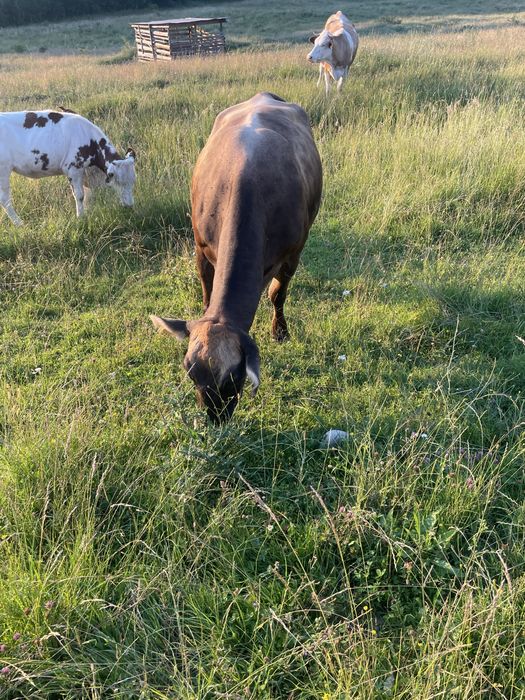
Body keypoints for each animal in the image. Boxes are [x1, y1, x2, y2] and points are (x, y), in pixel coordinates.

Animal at [0, 109, 136, 226]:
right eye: (118, 182)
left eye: (133, 182)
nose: (130, 206)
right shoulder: (73, 168)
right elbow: (80, 195)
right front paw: (80, 217)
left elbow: (87, 195)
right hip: (4, 169)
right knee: (5, 200)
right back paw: (19, 224)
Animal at [151, 92, 322, 424]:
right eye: (191, 373)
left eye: (234, 376)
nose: (216, 420)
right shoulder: (200, 248)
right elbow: (206, 295)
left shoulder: (293, 252)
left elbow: (277, 294)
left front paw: (279, 331)